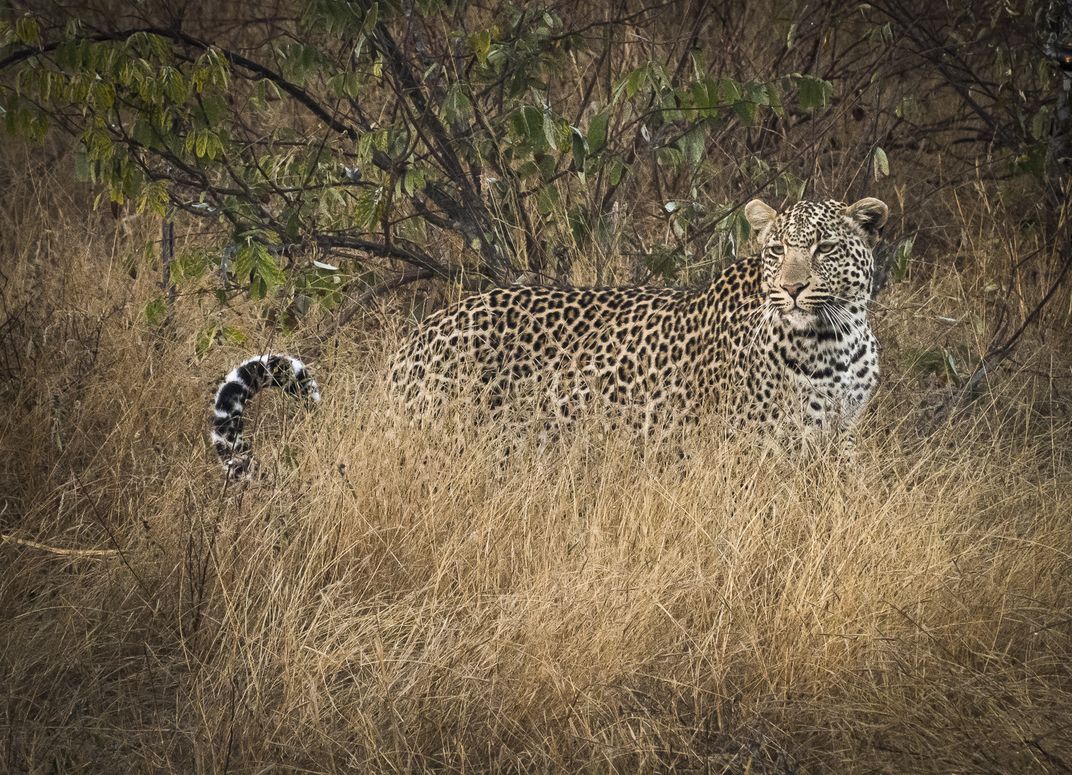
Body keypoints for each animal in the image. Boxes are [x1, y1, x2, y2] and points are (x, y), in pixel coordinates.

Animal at [210, 197, 888, 478]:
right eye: (776, 252)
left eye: (824, 249)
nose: (793, 289)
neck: (833, 342)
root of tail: (411, 344)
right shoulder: (753, 448)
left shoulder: (843, 437)